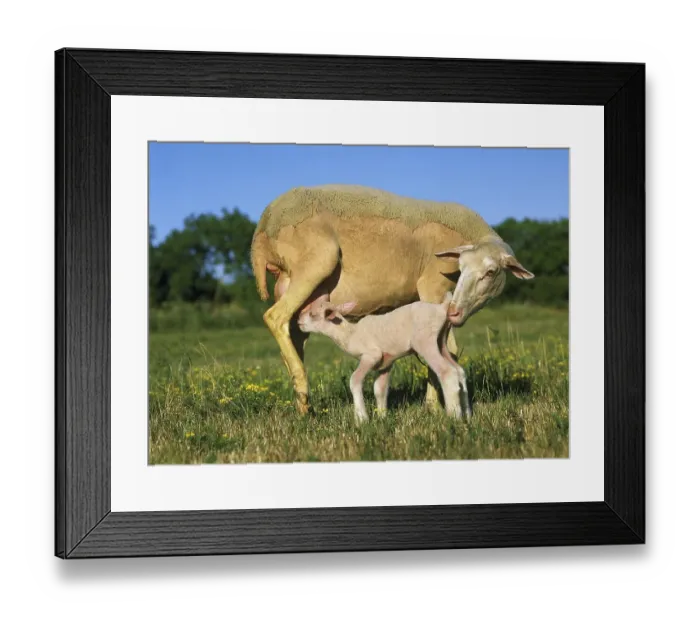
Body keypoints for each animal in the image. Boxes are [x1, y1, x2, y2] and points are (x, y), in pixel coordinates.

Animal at [297, 292, 470, 423]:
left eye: (312, 314)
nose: (298, 320)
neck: (350, 334)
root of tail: (441, 308)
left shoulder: (372, 355)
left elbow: (354, 380)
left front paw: (362, 418)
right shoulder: (386, 362)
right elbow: (379, 389)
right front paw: (381, 417)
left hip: (425, 341)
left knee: (447, 372)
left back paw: (454, 416)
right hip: (441, 341)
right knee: (459, 371)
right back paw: (467, 414)